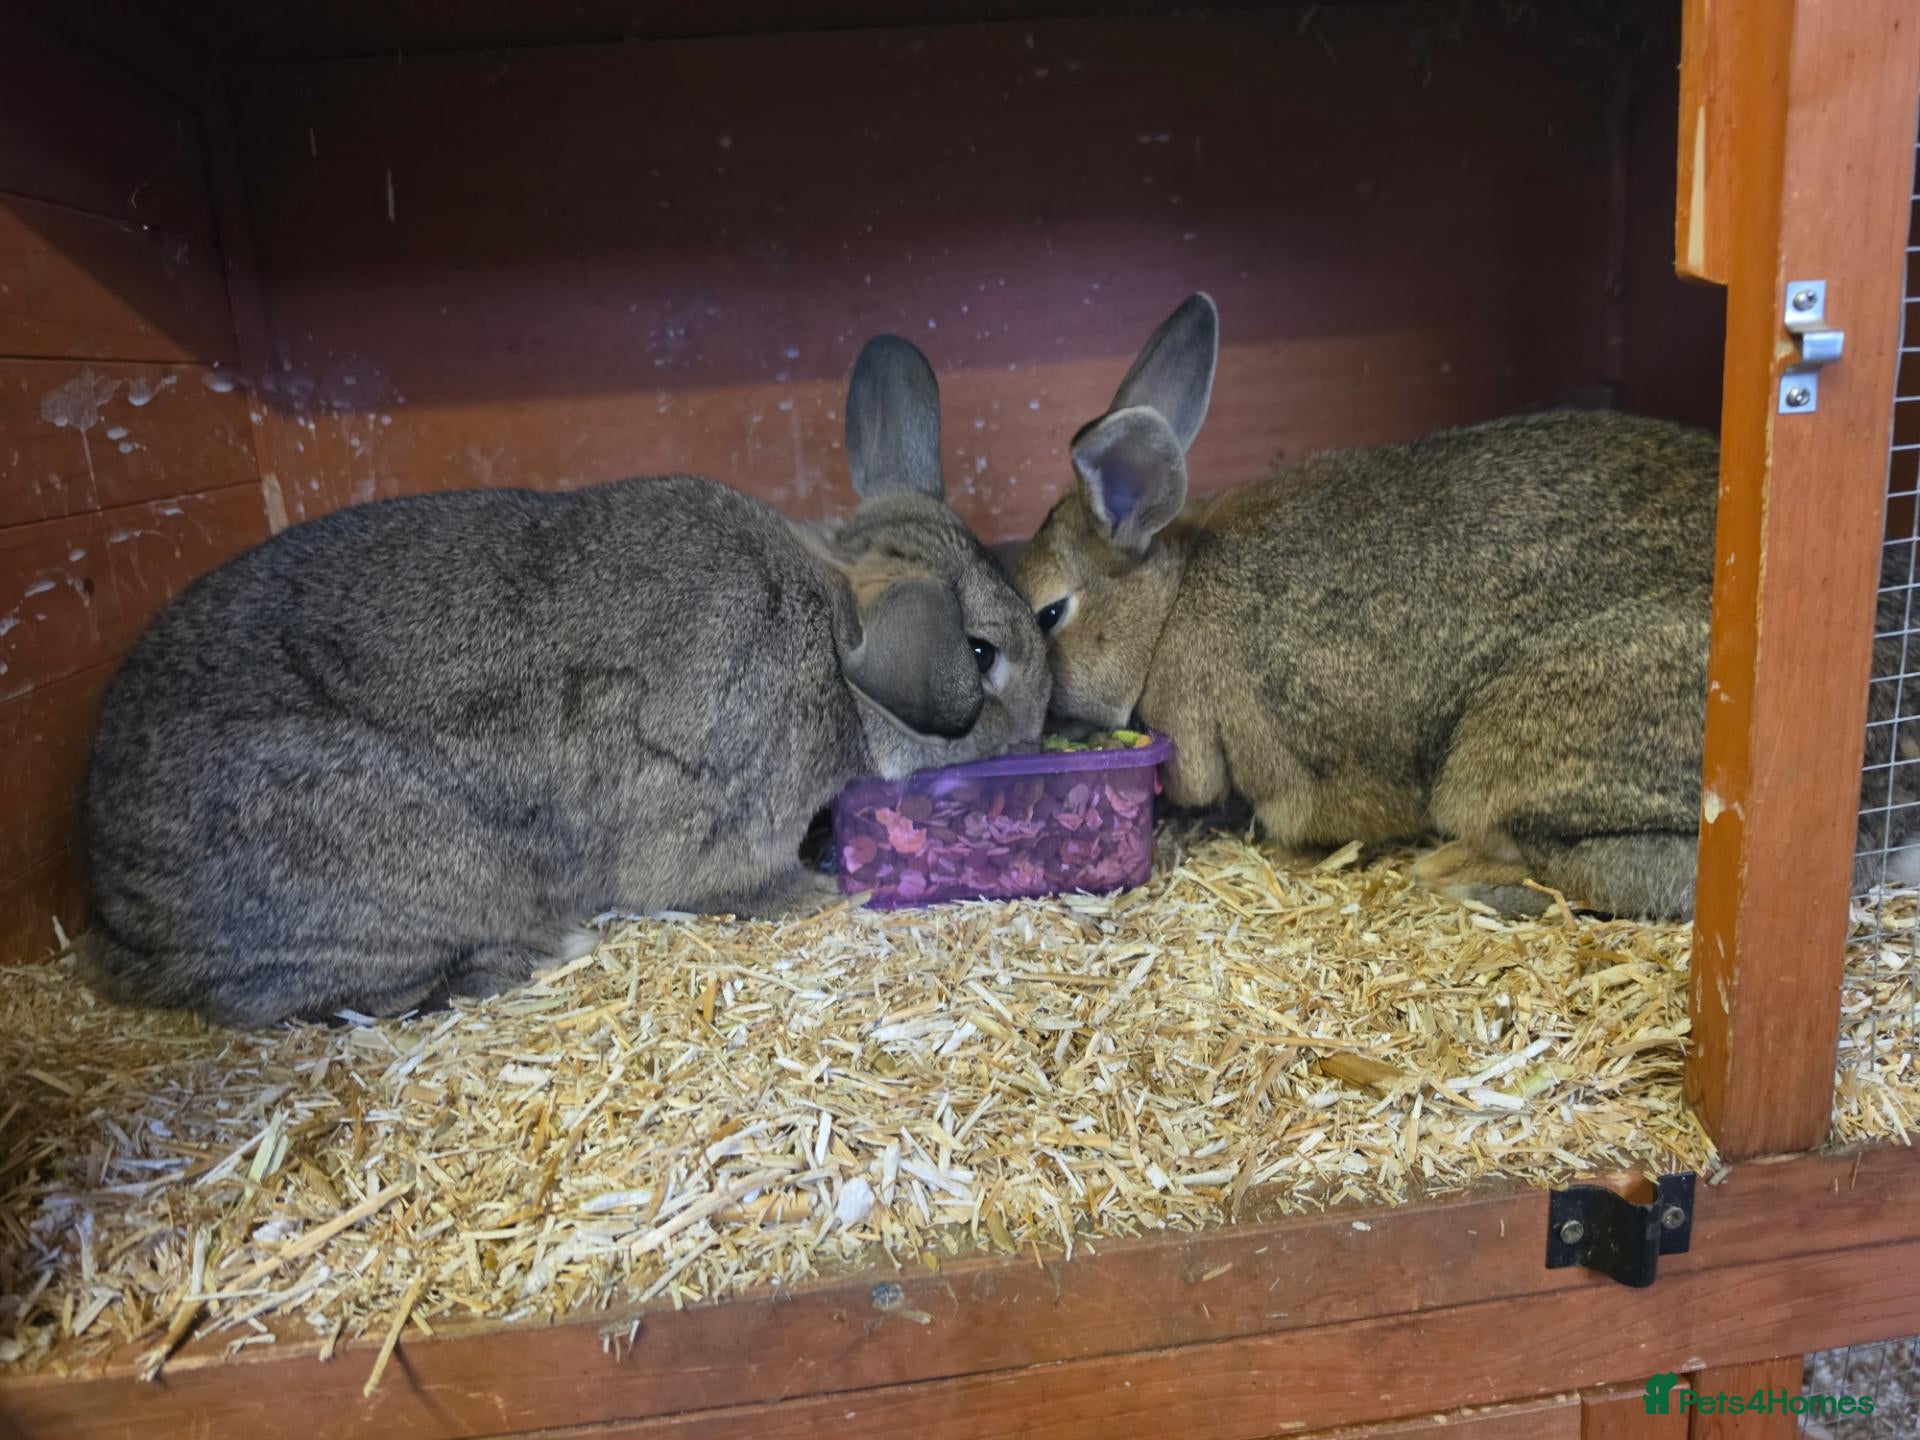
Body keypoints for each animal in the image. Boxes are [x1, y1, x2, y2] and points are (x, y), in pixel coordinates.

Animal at [80, 334, 1049, 1027]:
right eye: (979, 655)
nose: (1041, 726)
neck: (829, 638)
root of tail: (121, 924)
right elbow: (726, 884)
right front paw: (817, 892)